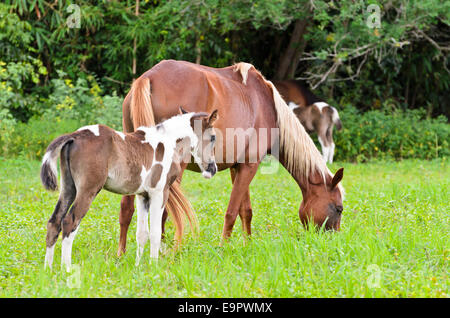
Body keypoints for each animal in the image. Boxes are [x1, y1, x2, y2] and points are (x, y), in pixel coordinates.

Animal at [40, 109, 218, 270]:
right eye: (213, 137)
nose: (213, 169)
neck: (168, 142)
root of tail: (74, 136)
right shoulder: (159, 193)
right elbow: (155, 233)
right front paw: (154, 267)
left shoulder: (142, 195)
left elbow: (142, 234)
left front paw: (138, 267)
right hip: (88, 190)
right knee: (69, 222)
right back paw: (66, 269)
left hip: (68, 188)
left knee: (54, 222)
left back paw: (48, 270)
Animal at [117, 60, 344, 256]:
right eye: (338, 208)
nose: (333, 241)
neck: (268, 105)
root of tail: (149, 77)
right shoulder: (250, 166)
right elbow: (232, 211)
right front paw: (223, 248)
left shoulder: (239, 167)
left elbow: (246, 211)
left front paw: (248, 245)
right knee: (162, 211)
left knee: (127, 208)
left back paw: (121, 254)